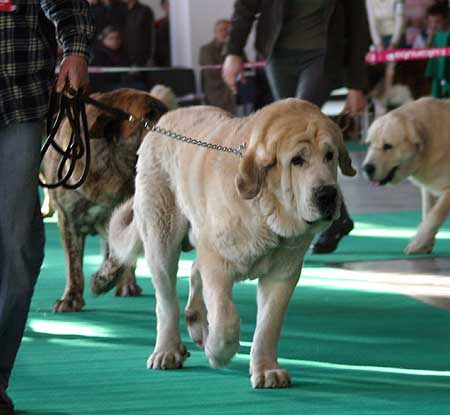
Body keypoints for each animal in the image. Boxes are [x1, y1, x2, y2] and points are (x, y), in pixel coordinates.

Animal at [44, 87, 171, 312]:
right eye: (149, 116)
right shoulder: (68, 218)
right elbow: (73, 264)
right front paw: (71, 297)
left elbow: (120, 256)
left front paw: (102, 281)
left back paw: (126, 283)